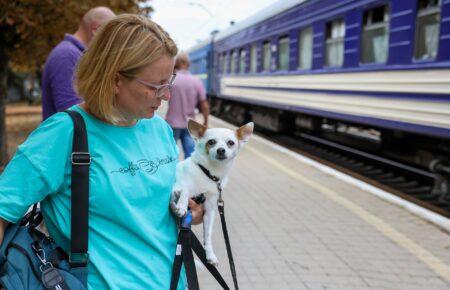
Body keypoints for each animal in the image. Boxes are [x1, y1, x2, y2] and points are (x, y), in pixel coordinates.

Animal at [170, 118, 253, 266]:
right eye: (211, 142)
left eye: (230, 143)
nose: (221, 150)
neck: (209, 173)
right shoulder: (175, 187)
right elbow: (186, 189)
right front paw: (181, 206)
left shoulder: (209, 210)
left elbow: (208, 235)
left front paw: (210, 255)